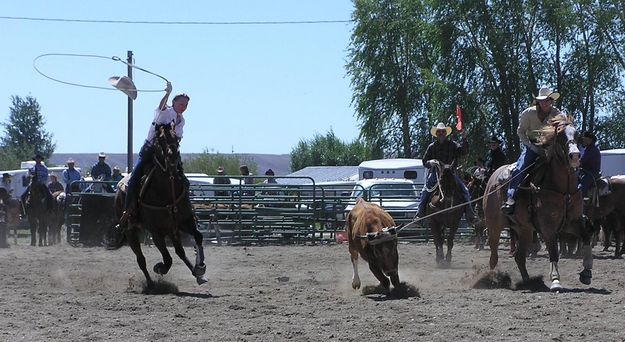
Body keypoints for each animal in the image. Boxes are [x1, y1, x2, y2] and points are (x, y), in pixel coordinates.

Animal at [106, 123, 206, 288]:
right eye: (160, 139)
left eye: (176, 137)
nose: (173, 156)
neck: (167, 190)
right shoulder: (156, 232)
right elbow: (168, 260)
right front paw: (160, 268)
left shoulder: (185, 222)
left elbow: (198, 236)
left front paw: (200, 267)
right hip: (130, 231)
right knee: (141, 259)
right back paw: (150, 284)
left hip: (171, 230)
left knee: (180, 252)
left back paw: (197, 274)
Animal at [482, 113, 588, 290]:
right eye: (560, 135)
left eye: (578, 135)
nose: (574, 155)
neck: (563, 189)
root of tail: (493, 177)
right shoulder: (547, 227)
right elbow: (553, 252)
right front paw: (556, 281)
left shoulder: (573, 222)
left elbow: (586, 239)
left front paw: (587, 273)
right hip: (494, 226)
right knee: (494, 256)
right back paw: (491, 279)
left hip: (524, 229)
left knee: (519, 256)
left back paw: (529, 282)